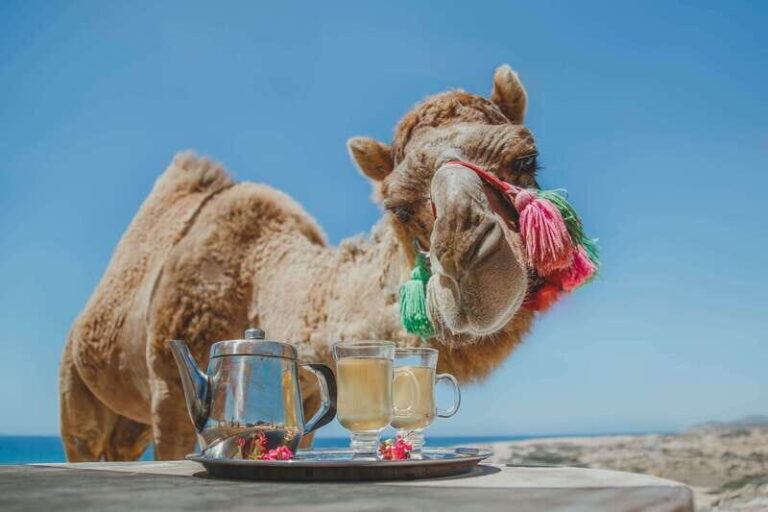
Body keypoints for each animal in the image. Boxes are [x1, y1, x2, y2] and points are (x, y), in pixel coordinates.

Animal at [60, 65, 554, 461]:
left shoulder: (312, 390)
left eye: (526, 159)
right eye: (396, 206)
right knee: (84, 439)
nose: (474, 269)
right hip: (78, 386)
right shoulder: (169, 386)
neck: (255, 276)